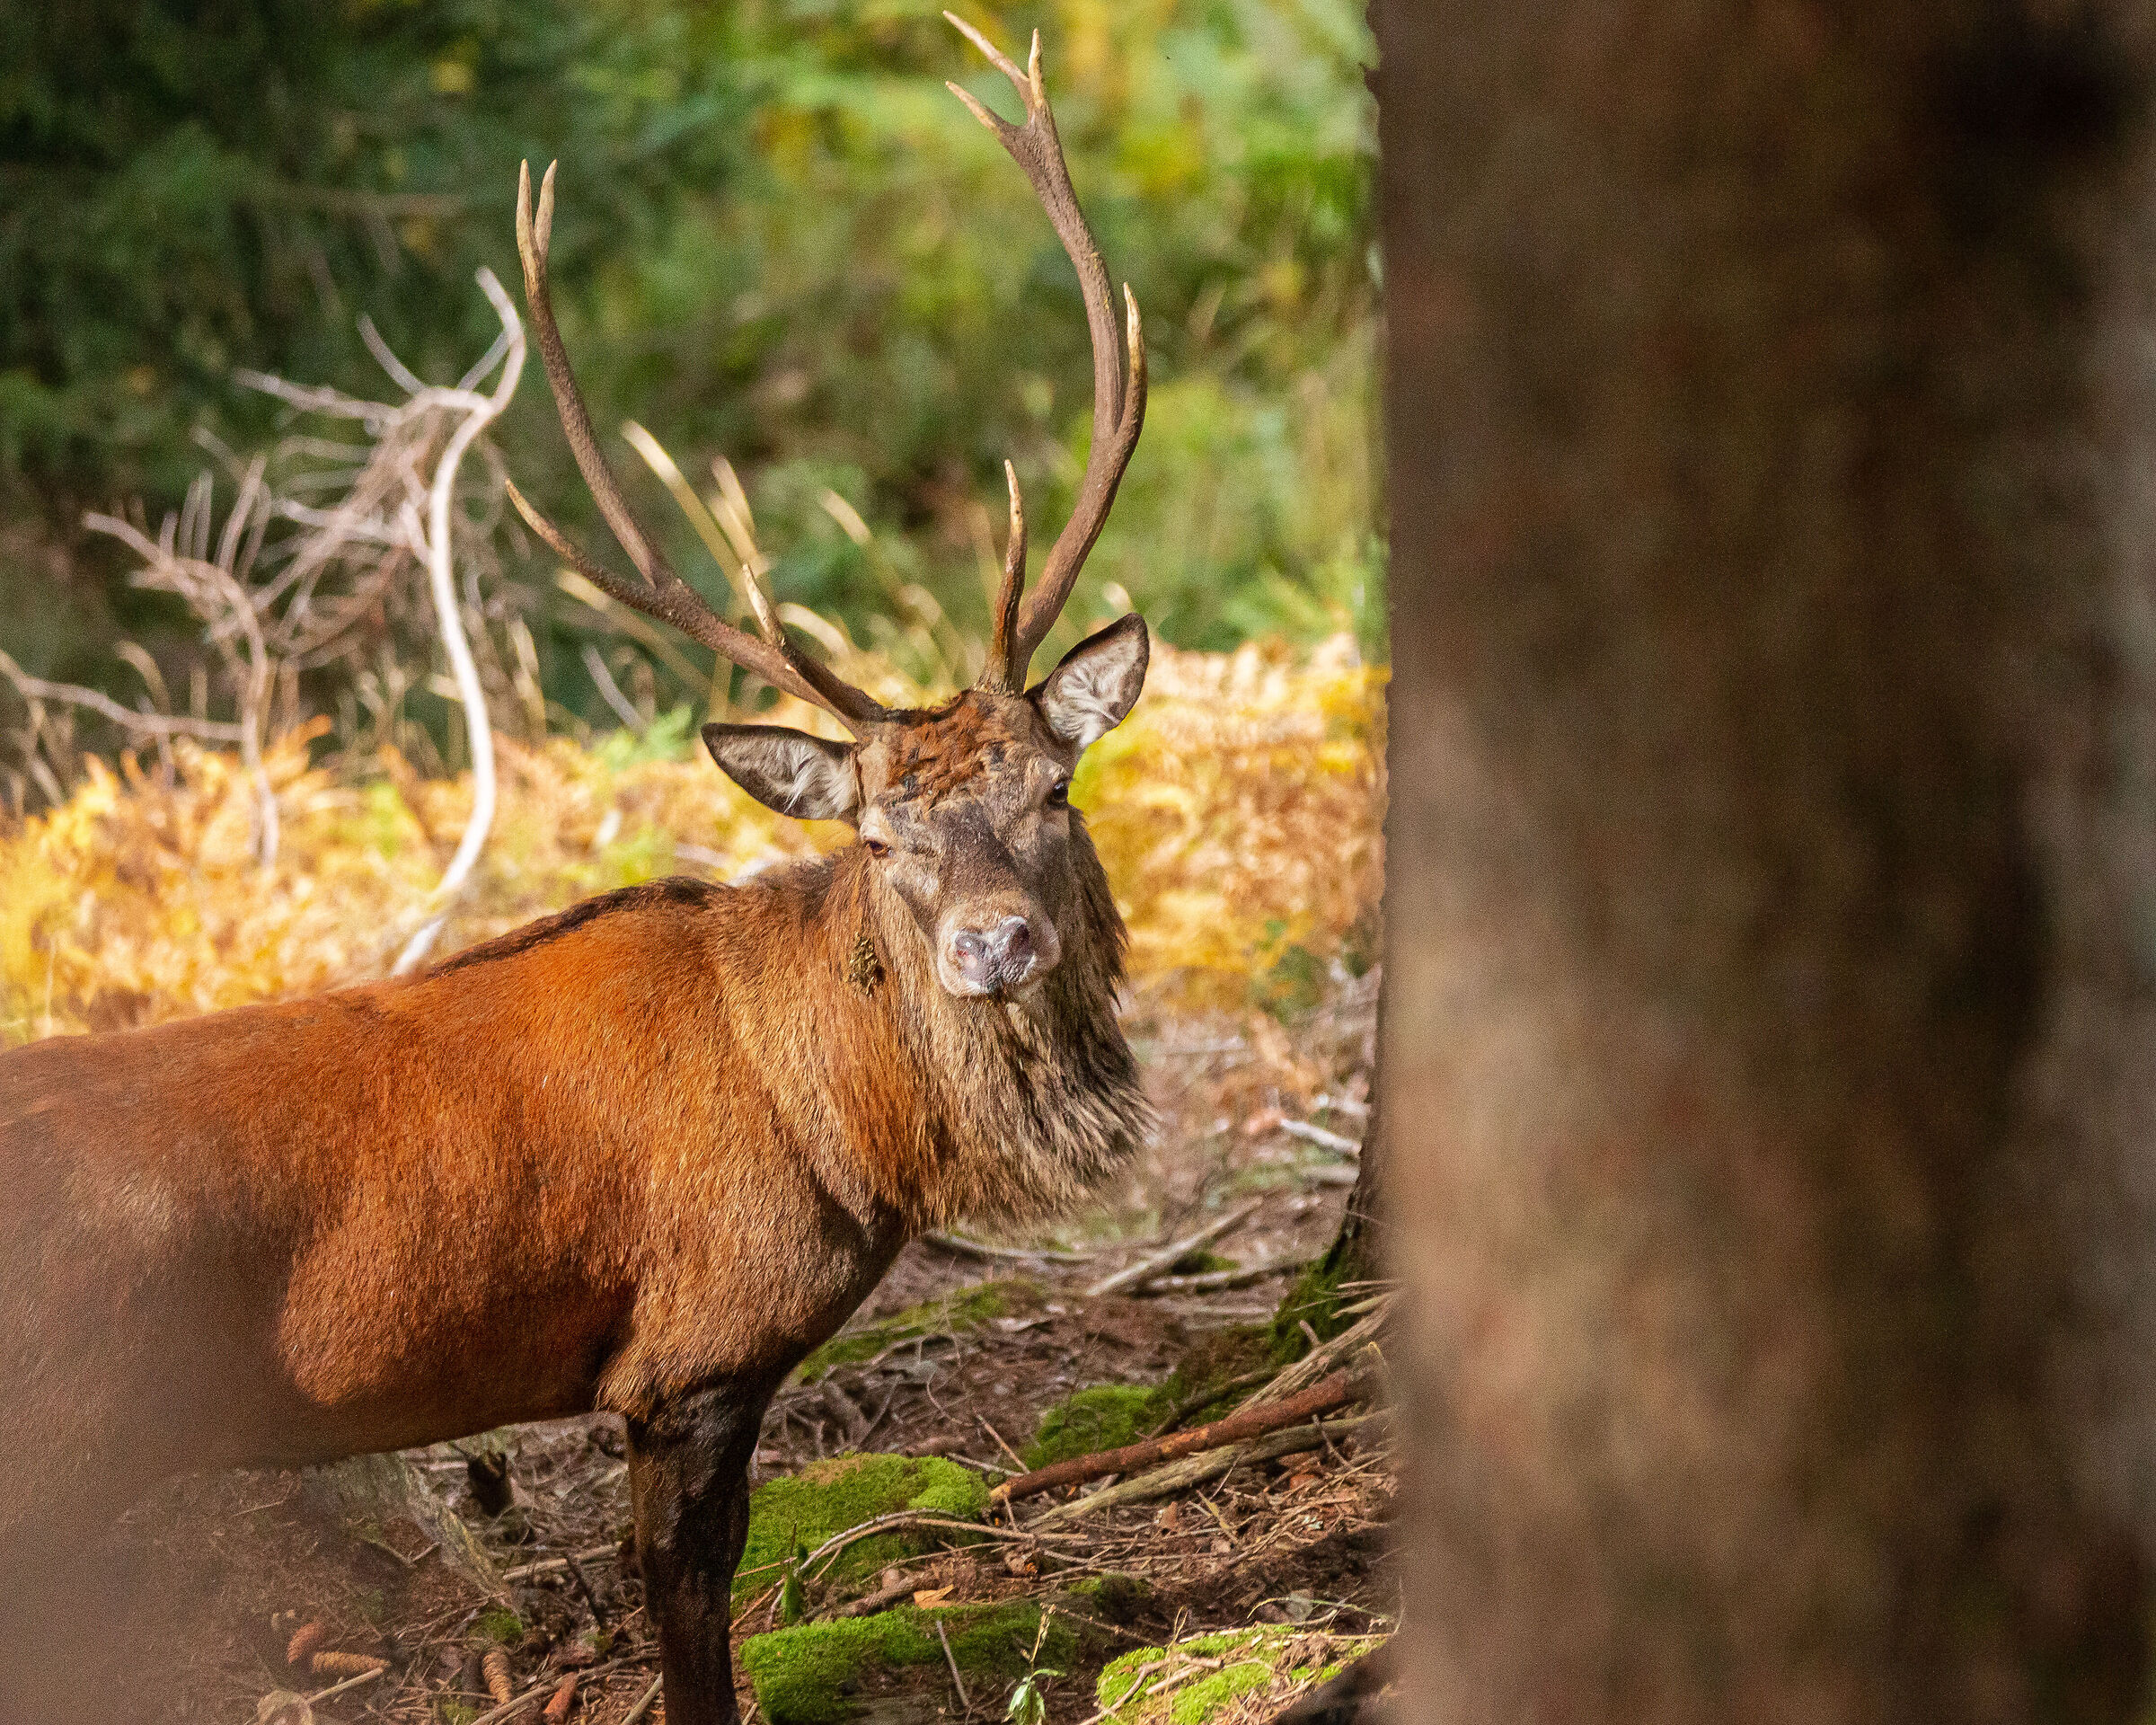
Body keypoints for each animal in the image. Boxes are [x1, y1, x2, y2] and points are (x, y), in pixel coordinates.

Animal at [0, 21, 1148, 1723]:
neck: (852, 1128)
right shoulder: (694, 1349)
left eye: (1054, 789)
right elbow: (686, 1612)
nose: (995, 946)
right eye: (879, 838)